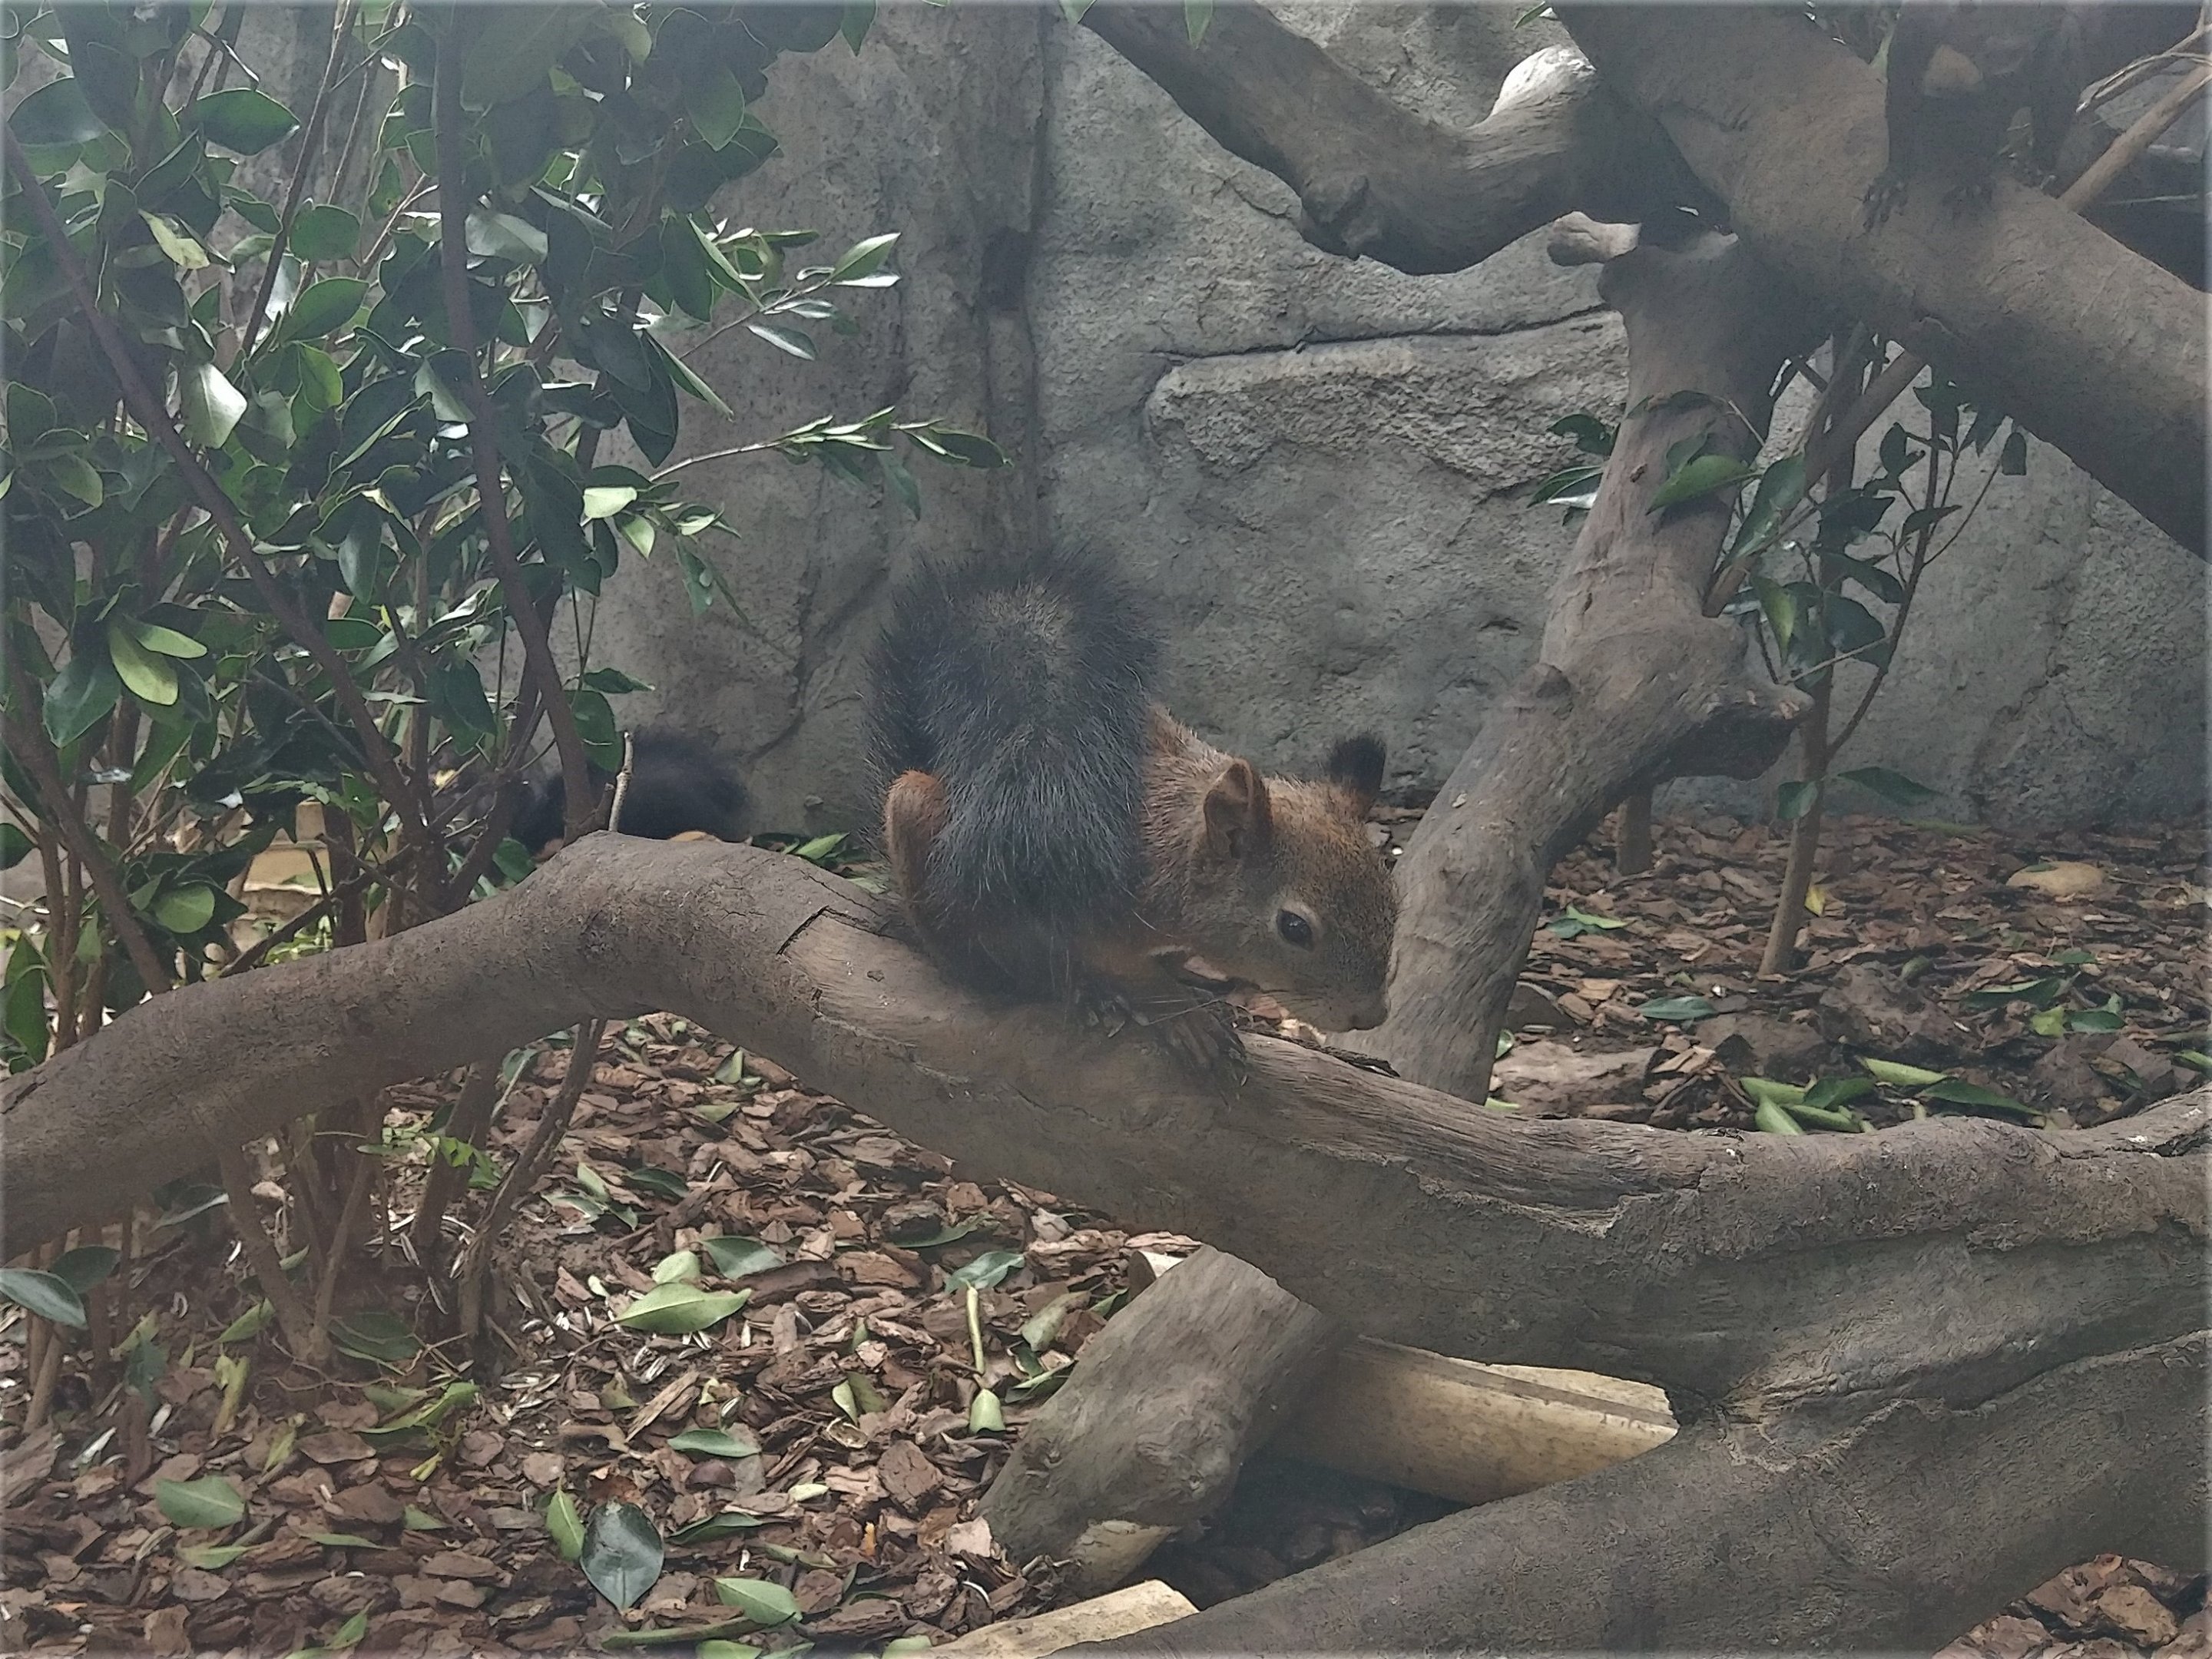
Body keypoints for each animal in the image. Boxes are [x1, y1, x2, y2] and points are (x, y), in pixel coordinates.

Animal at [866, 547, 1398, 1073]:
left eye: (1392, 902)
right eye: (1294, 928)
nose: (1371, 1016)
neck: (1171, 857)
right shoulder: (1085, 911)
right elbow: (1128, 973)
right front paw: (1182, 1015)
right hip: (937, 844)